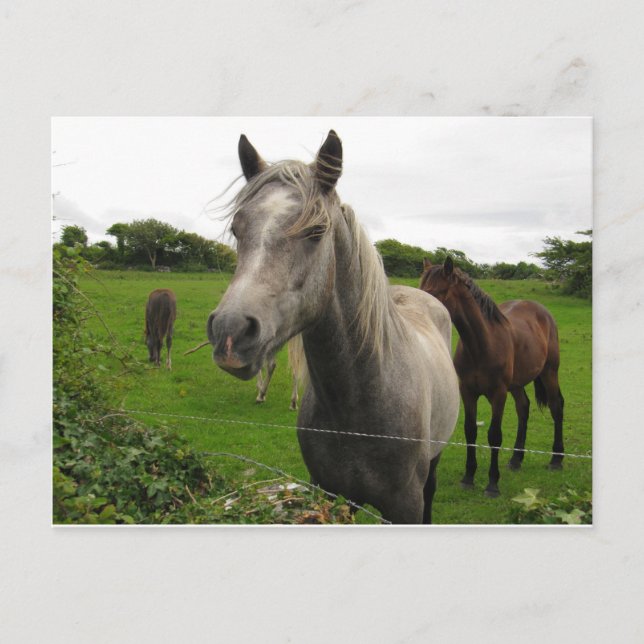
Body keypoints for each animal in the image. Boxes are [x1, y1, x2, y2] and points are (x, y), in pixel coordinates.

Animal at [206, 131, 459, 524]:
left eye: (316, 230)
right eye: (237, 228)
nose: (230, 332)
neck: (357, 404)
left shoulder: (405, 506)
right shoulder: (330, 493)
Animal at [420, 257, 565, 497]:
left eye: (435, 292)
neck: (481, 345)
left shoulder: (498, 394)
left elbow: (494, 435)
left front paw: (492, 484)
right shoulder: (467, 391)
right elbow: (470, 431)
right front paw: (468, 477)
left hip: (549, 372)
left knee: (556, 407)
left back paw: (556, 459)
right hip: (516, 384)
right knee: (523, 408)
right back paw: (516, 459)